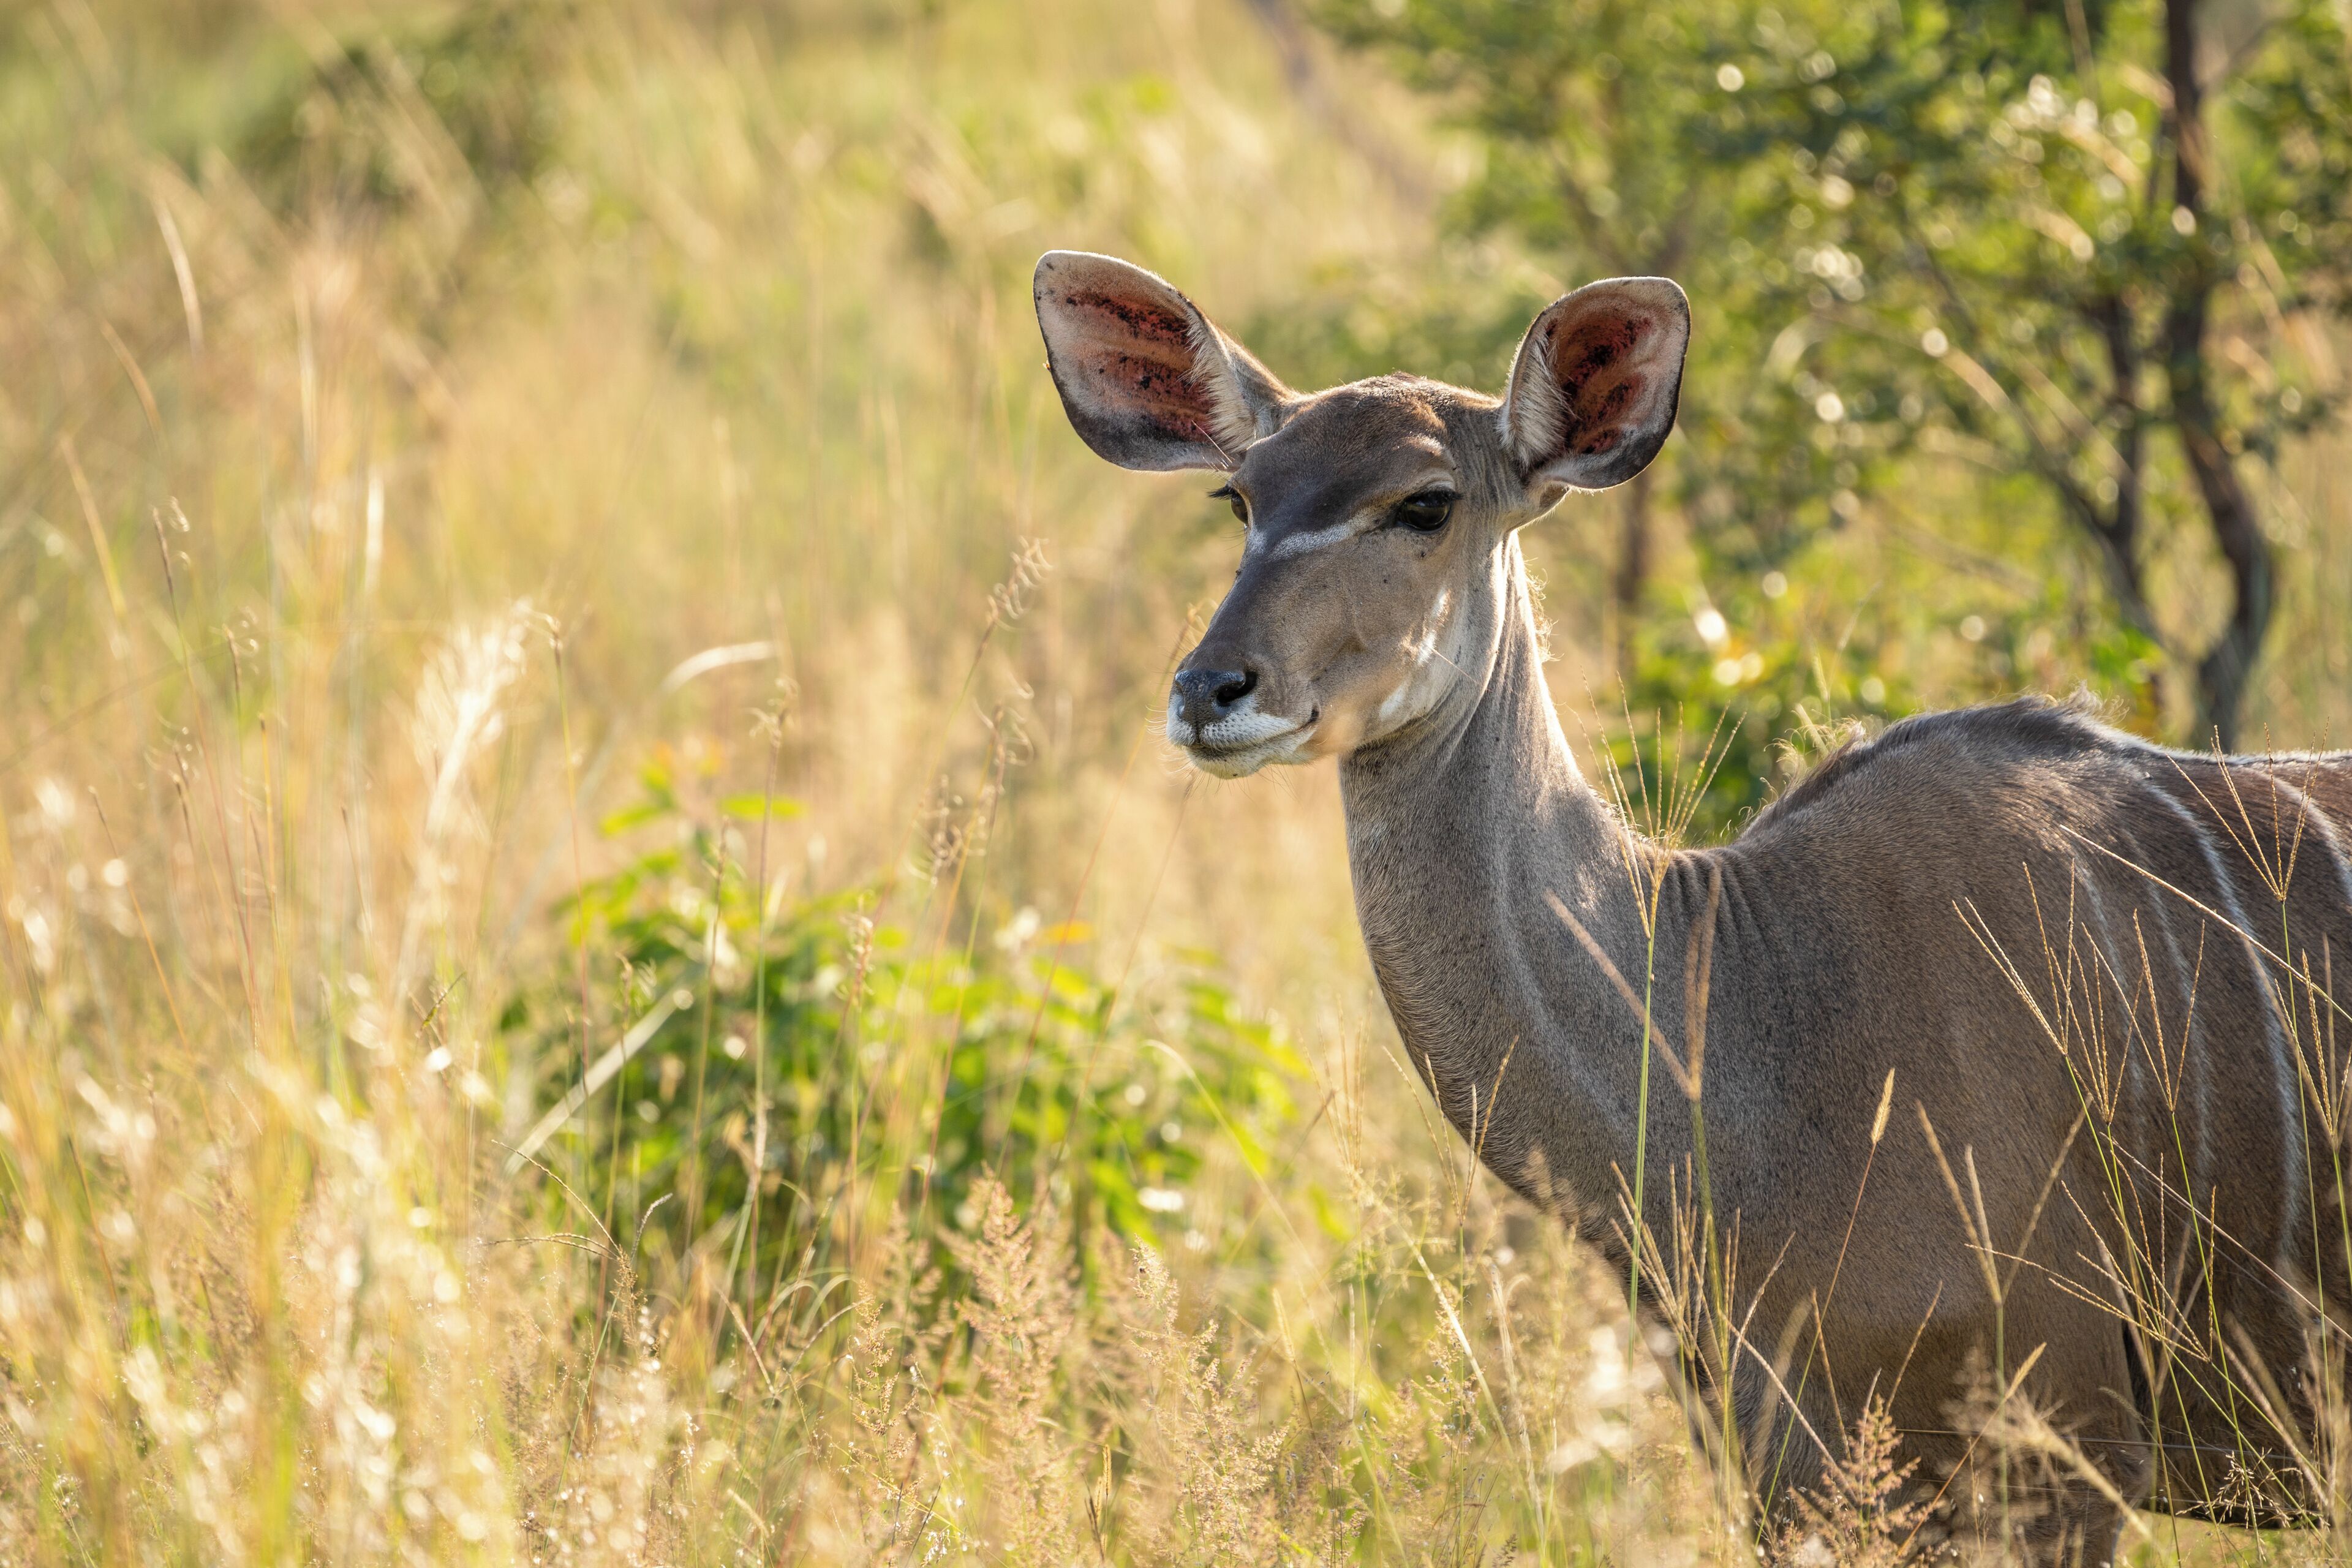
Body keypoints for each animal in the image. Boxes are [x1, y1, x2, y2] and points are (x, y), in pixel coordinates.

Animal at [1033, 250, 2352, 1563]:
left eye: (1425, 503)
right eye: (1240, 499)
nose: (1211, 689)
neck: (1757, 1033)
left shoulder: (2067, 1455)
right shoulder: (1785, 1469)